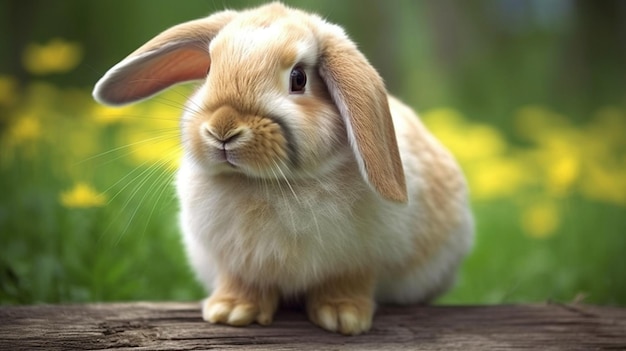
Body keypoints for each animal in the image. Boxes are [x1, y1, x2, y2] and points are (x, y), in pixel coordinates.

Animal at [92, 1, 470, 336]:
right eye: (210, 70)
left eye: (298, 78)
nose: (223, 130)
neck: (268, 182)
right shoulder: (236, 260)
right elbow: (241, 282)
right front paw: (231, 312)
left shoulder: (358, 260)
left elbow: (347, 282)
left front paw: (343, 317)